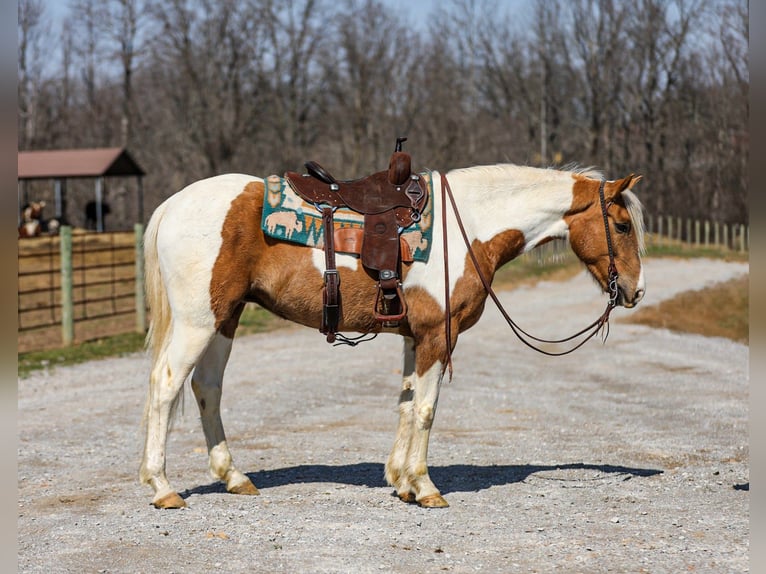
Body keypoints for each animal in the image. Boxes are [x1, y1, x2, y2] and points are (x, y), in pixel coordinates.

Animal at [140, 163, 646, 509]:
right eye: (621, 225)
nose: (636, 291)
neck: (469, 227)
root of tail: (173, 204)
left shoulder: (412, 336)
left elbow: (405, 403)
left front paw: (401, 481)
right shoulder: (438, 336)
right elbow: (425, 409)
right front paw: (424, 486)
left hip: (225, 319)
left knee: (207, 388)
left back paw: (234, 477)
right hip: (198, 322)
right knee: (165, 386)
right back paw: (162, 487)